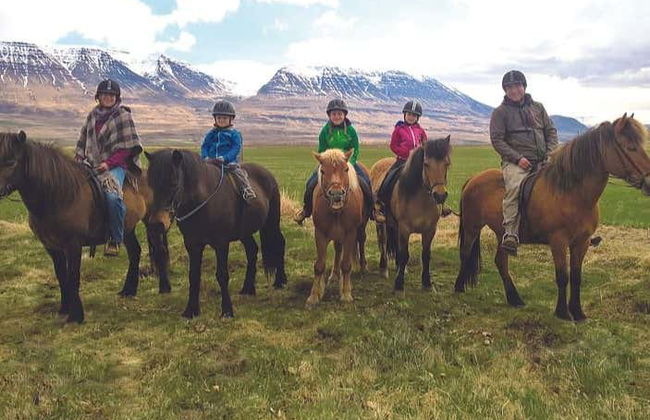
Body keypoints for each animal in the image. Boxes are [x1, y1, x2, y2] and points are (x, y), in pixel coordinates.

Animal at [0, 131, 171, 323]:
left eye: (11, 162)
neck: (59, 195)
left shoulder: (73, 245)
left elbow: (73, 276)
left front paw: (76, 316)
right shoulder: (52, 247)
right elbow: (61, 276)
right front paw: (64, 309)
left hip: (153, 222)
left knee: (160, 250)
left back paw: (164, 288)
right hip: (127, 229)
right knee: (135, 252)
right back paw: (128, 290)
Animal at [145, 149, 287, 319]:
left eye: (173, 183)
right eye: (151, 184)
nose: (156, 224)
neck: (203, 200)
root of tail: (267, 174)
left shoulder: (221, 243)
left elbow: (222, 275)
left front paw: (227, 311)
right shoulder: (192, 244)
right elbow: (194, 275)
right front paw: (191, 310)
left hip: (272, 221)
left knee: (279, 243)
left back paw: (280, 281)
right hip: (244, 232)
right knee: (252, 250)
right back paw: (248, 288)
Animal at [307, 149, 370, 305]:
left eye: (346, 169)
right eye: (322, 171)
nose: (336, 194)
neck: (336, 211)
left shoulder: (350, 233)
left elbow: (346, 265)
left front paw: (346, 294)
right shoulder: (320, 233)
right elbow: (319, 265)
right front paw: (314, 295)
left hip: (361, 227)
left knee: (361, 240)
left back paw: (363, 266)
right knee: (337, 249)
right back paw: (334, 275)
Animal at [370, 136, 452, 291]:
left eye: (447, 163)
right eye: (426, 164)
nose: (440, 195)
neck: (420, 199)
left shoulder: (430, 230)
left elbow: (425, 255)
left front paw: (427, 283)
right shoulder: (404, 228)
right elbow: (404, 254)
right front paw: (399, 284)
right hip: (381, 222)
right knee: (383, 242)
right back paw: (384, 269)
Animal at [454, 114, 650, 321]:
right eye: (630, 147)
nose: (648, 182)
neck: (572, 193)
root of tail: (473, 178)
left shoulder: (581, 242)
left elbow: (576, 276)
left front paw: (578, 312)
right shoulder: (558, 241)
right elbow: (562, 276)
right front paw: (562, 312)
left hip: (502, 234)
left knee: (501, 261)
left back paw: (515, 298)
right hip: (472, 227)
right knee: (465, 253)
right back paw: (459, 287)